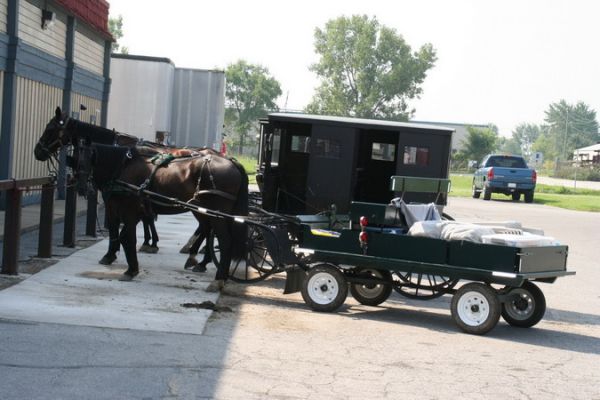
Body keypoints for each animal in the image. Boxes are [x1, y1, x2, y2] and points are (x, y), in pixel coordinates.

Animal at [35, 107, 248, 288]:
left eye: (51, 128)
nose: (38, 151)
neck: (122, 162)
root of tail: (231, 162)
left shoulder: (117, 203)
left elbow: (121, 231)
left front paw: (117, 256)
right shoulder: (130, 204)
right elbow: (136, 225)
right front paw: (145, 245)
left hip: (213, 212)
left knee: (222, 238)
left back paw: (214, 274)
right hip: (203, 209)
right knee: (207, 230)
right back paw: (200, 260)